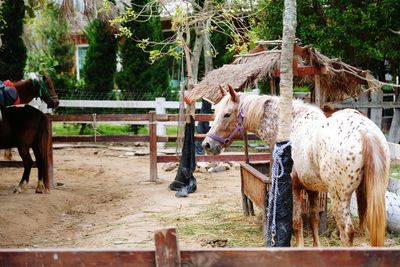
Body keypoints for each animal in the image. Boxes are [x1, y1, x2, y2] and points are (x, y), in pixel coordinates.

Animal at [202, 85, 390, 247]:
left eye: (227, 114)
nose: (207, 145)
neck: (291, 127)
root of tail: (365, 132)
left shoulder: (294, 187)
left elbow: (297, 221)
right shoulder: (312, 189)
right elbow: (314, 219)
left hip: (340, 198)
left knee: (347, 232)